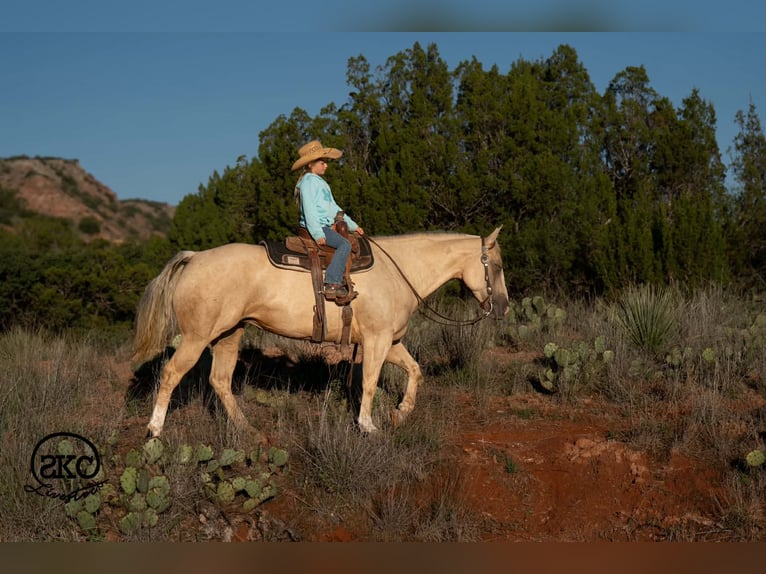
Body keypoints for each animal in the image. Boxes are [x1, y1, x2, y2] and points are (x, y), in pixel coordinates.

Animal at [132, 226, 509, 443]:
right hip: (197, 338)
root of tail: (194, 257)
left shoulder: (390, 341)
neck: (398, 271)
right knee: (172, 373)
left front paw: (400, 413)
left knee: (220, 381)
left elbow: (415, 371)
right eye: (497, 265)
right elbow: (369, 381)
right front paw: (368, 426)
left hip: (228, 335)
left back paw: (248, 431)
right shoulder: (377, 340)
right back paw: (154, 429)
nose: (504, 307)